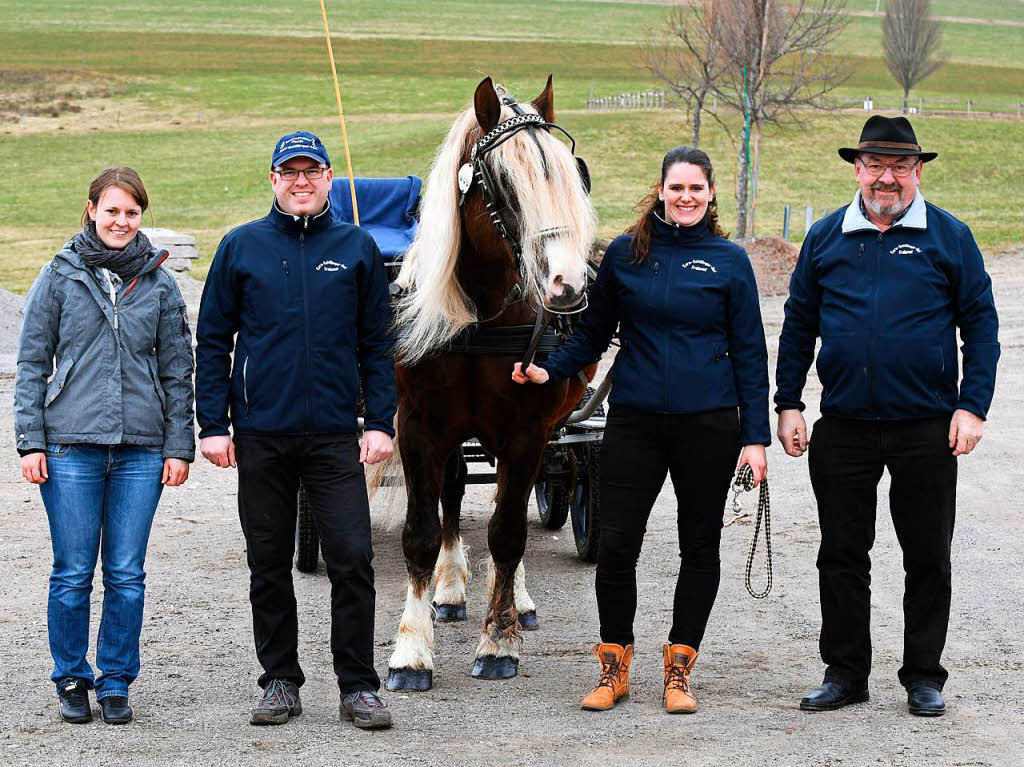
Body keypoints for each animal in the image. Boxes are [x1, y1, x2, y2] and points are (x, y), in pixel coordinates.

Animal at [374, 77, 598, 688]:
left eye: (569, 172)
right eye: (501, 180)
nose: (566, 285)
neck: (479, 317)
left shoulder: (526, 430)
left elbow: (507, 532)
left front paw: (499, 641)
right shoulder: (419, 426)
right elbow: (422, 531)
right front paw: (411, 649)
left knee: (507, 508)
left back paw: (516, 601)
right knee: (454, 490)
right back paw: (449, 588)